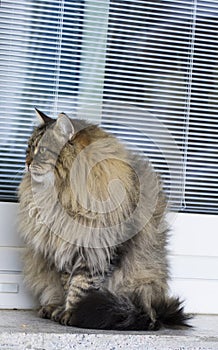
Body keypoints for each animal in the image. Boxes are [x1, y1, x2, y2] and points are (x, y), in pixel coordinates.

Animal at [18, 109, 189, 330]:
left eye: (43, 150)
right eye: (28, 149)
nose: (27, 163)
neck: (62, 195)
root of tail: (157, 311)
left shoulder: (99, 251)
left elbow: (81, 287)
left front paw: (73, 314)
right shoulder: (64, 250)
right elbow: (67, 284)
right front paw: (62, 310)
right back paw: (51, 308)